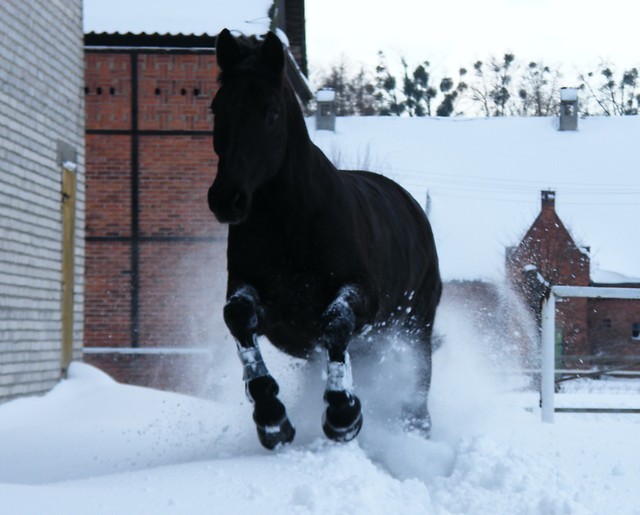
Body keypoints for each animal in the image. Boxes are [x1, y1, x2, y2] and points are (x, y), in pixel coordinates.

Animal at [209, 30, 440, 450]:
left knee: (417, 393)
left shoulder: (360, 295)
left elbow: (335, 323)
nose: (225, 199)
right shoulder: (262, 302)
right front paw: (272, 419)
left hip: (415, 329)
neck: (290, 225)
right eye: (217, 109)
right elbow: (238, 317)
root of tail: (413, 208)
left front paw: (342, 415)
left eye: (271, 112)